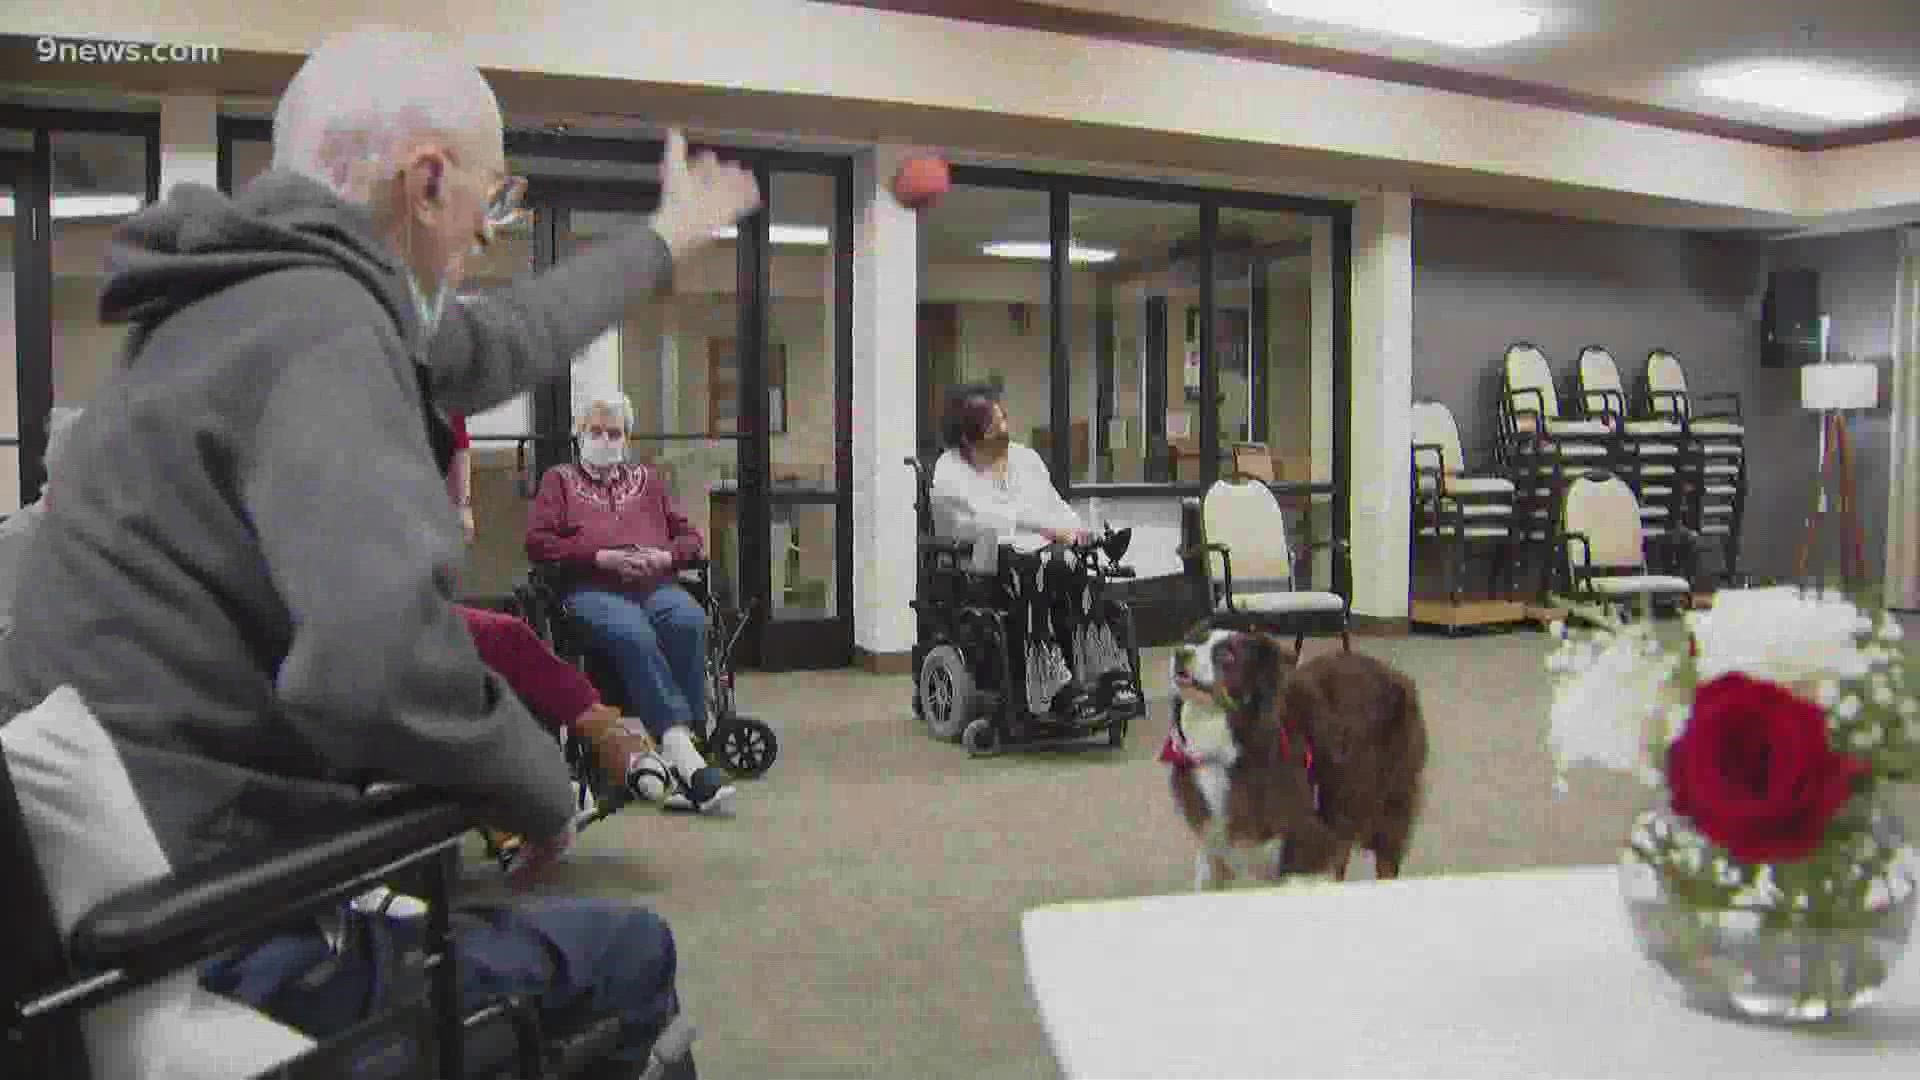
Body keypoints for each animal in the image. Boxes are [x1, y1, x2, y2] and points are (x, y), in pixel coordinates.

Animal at [1152, 622, 1428, 891]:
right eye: (1193, 641)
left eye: (1228, 655)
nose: (1180, 653)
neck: (1227, 749)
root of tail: (1397, 675)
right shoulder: (1215, 847)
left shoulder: (1304, 844)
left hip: (1384, 801)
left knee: (1385, 858)